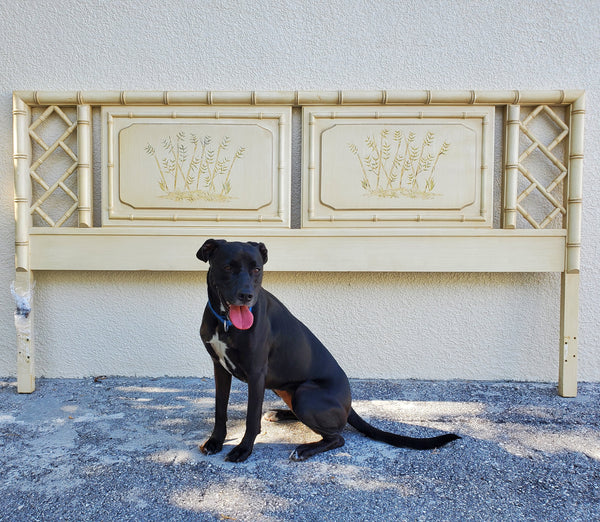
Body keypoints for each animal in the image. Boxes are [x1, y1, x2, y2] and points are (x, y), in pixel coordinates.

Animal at [197, 239, 460, 460]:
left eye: (257, 270)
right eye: (228, 267)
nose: (247, 296)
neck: (225, 322)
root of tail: (349, 404)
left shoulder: (256, 373)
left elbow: (251, 418)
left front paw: (243, 449)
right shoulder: (220, 368)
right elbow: (220, 409)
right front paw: (215, 441)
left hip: (305, 394)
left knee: (338, 437)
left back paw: (304, 449)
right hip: (284, 389)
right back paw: (279, 414)